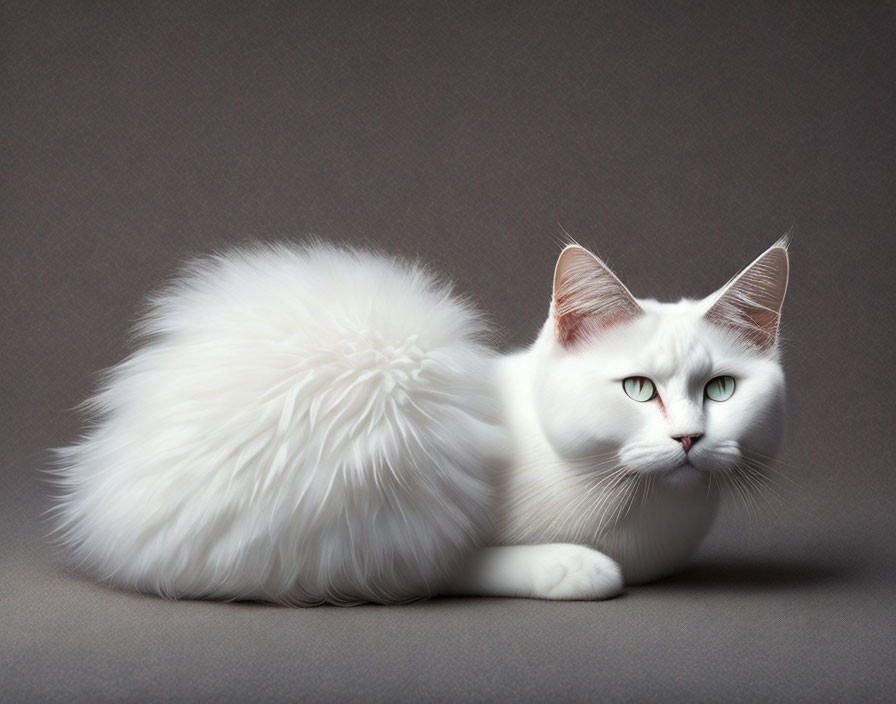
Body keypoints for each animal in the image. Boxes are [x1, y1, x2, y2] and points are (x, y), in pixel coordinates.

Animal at [50, 239, 792, 604]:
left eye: (722, 388)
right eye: (638, 389)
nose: (690, 437)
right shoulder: (407, 528)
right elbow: (445, 565)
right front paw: (572, 567)